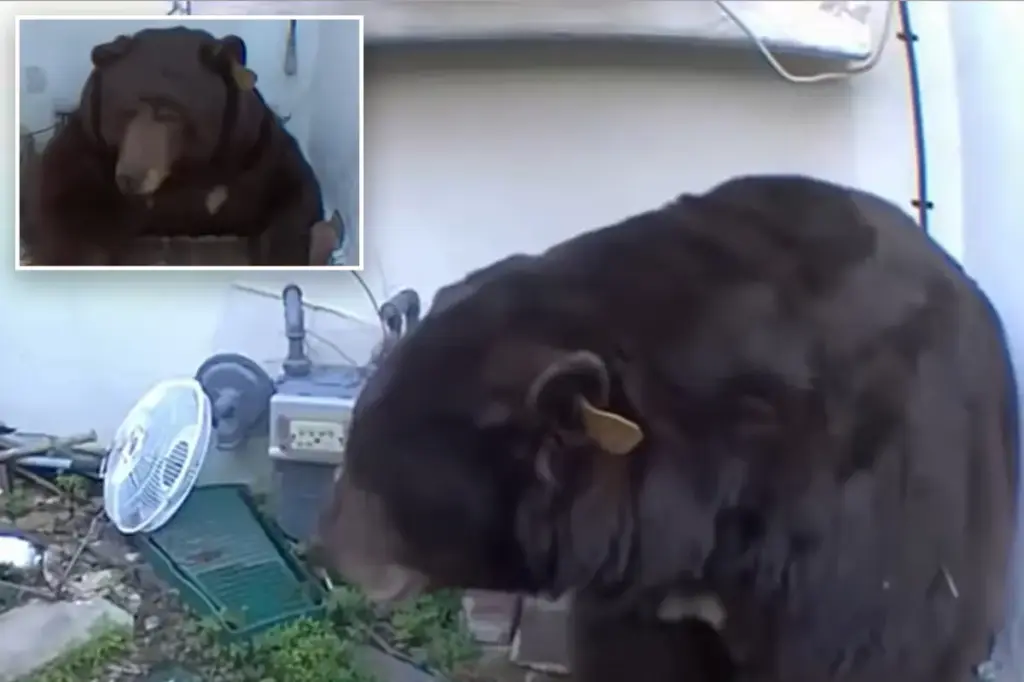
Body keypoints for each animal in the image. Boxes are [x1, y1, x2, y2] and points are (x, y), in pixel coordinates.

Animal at [21, 26, 325, 266]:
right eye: (125, 112)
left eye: (171, 114)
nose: (132, 177)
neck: (182, 173)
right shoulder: (90, 152)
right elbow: (64, 208)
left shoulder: (250, 154)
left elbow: (295, 193)